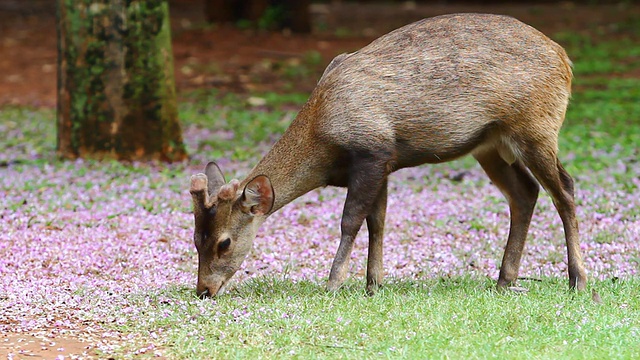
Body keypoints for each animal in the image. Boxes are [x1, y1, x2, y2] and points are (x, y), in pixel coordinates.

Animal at [188, 12, 588, 296]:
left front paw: (334, 282)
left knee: (565, 189)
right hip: (490, 145)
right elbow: (377, 221)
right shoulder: (384, 162)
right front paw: (373, 284)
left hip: (537, 126)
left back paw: (578, 280)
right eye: (195, 239)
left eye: (224, 242)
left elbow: (351, 220)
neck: (324, 140)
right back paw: (505, 279)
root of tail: (565, 59)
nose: (203, 290)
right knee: (525, 192)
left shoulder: (372, 151)